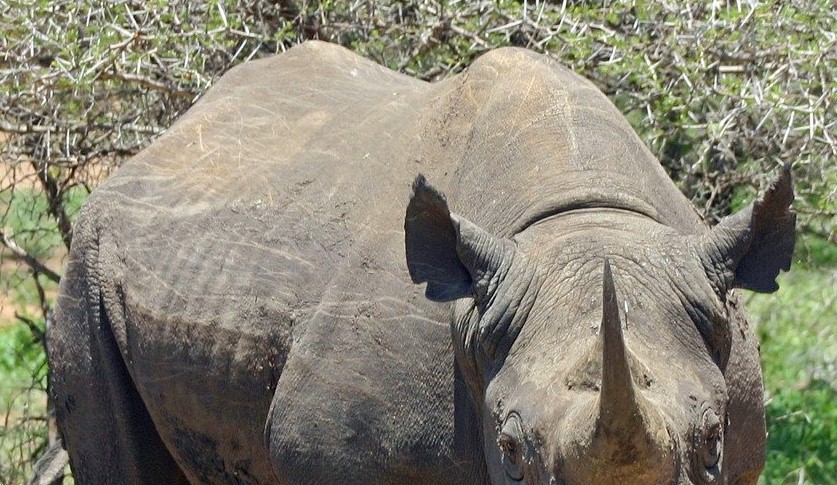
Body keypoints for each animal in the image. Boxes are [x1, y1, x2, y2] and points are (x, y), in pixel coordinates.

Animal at [48, 41, 794, 484]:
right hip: (87, 263)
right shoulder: (331, 450)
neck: (581, 220)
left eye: (710, 440)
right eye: (511, 448)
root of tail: (166, 141)